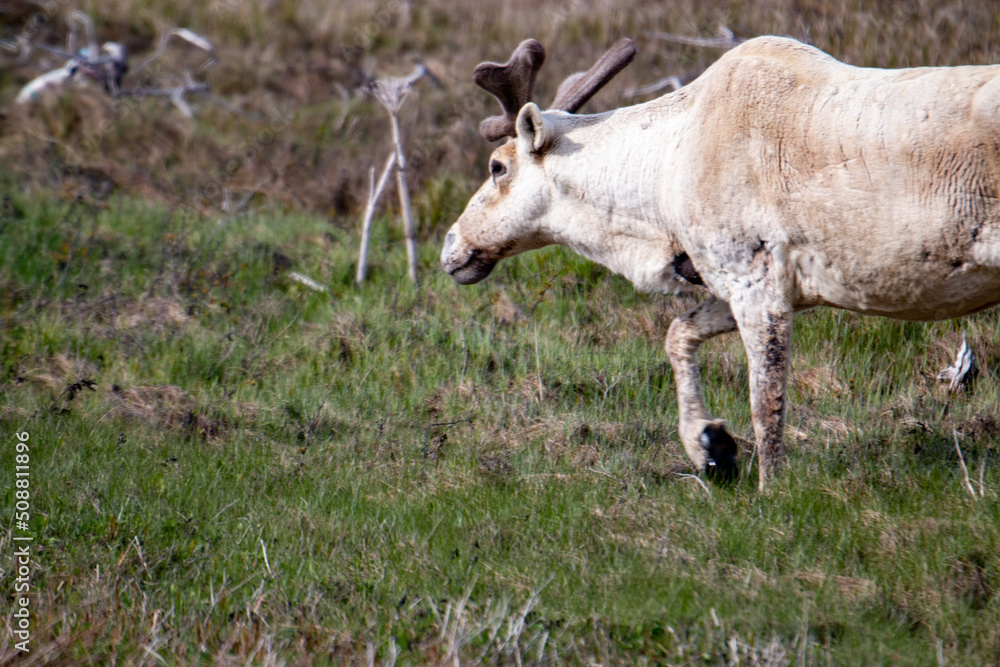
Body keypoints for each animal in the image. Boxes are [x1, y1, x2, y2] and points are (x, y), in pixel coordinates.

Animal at [441, 36, 1000, 490]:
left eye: (497, 167)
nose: (449, 247)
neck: (662, 181)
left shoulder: (755, 280)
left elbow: (765, 402)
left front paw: (771, 491)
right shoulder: (766, 286)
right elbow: (678, 333)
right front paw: (710, 446)